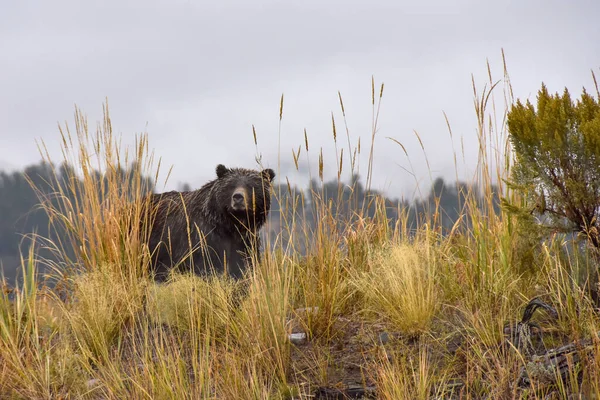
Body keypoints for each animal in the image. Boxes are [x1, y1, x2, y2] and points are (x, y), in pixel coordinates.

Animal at [143, 162, 276, 282]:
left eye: (251, 186)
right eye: (231, 185)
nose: (238, 197)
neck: (230, 225)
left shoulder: (245, 241)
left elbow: (244, 267)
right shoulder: (203, 238)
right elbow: (208, 268)